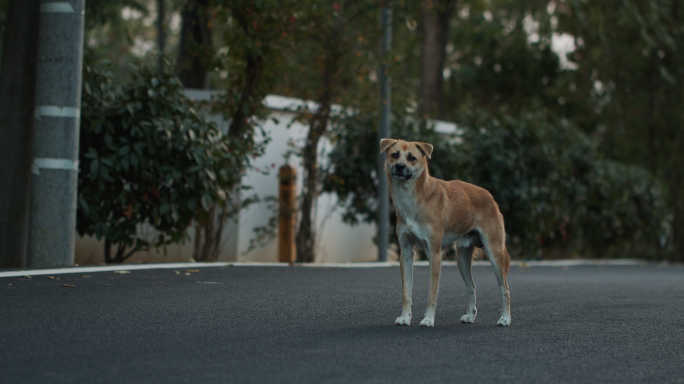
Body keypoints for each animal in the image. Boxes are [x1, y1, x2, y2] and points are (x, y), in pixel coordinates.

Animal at [382, 139, 510, 328]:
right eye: (394, 155)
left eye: (412, 158)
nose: (399, 166)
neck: (414, 199)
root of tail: (490, 196)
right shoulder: (405, 253)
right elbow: (406, 292)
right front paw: (405, 317)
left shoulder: (434, 255)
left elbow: (432, 294)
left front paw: (428, 319)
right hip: (462, 259)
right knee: (471, 286)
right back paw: (470, 316)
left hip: (495, 253)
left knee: (504, 288)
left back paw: (505, 318)